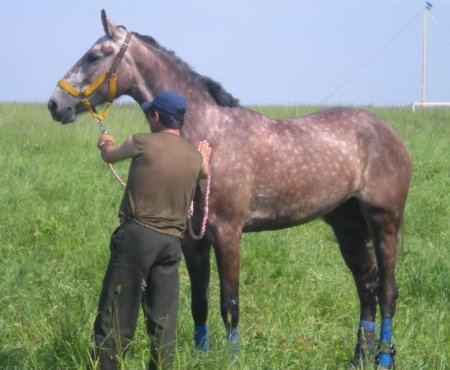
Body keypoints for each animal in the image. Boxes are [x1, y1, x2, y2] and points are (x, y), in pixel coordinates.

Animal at [48, 10, 412, 368]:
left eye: (95, 55)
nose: (55, 104)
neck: (210, 137)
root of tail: (389, 133)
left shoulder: (228, 233)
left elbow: (230, 304)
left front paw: (232, 359)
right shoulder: (193, 241)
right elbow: (199, 303)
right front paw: (201, 355)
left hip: (384, 221)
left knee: (387, 291)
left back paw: (383, 358)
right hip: (347, 225)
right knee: (366, 286)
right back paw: (359, 357)